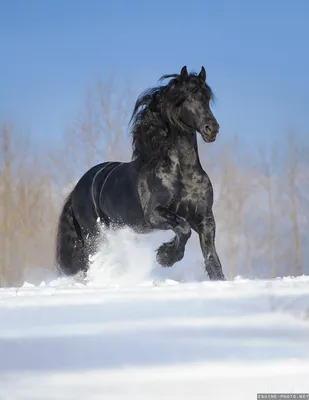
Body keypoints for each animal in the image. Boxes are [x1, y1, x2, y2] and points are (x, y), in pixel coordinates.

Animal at [56, 65, 224, 280]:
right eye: (187, 97)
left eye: (207, 98)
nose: (212, 129)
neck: (181, 173)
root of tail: (77, 187)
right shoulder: (154, 215)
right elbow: (183, 229)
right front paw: (165, 256)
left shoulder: (204, 217)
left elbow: (211, 255)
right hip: (94, 234)